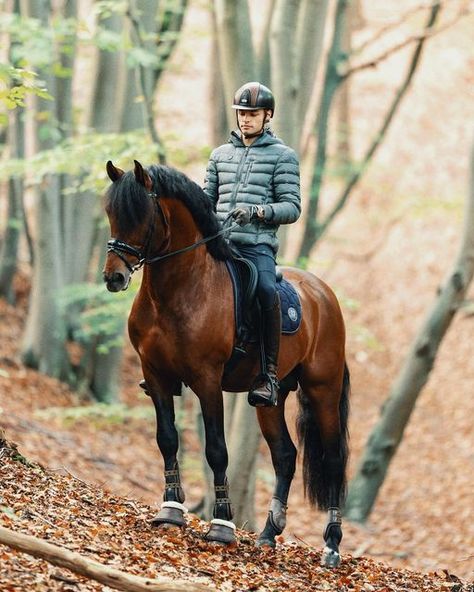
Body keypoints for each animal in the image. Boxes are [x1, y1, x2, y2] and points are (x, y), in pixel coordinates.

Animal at [102, 160, 350, 568]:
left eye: (141, 216)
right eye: (110, 213)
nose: (114, 277)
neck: (179, 291)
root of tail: (325, 294)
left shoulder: (206, 380)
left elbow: (217, 450)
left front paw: (221, 526)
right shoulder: (155, 375)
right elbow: (167, 439)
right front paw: (170, 510)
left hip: (323, 390)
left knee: (332, 460)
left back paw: (331, 546)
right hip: (272, 398)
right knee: (285, 455)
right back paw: (267, 534)